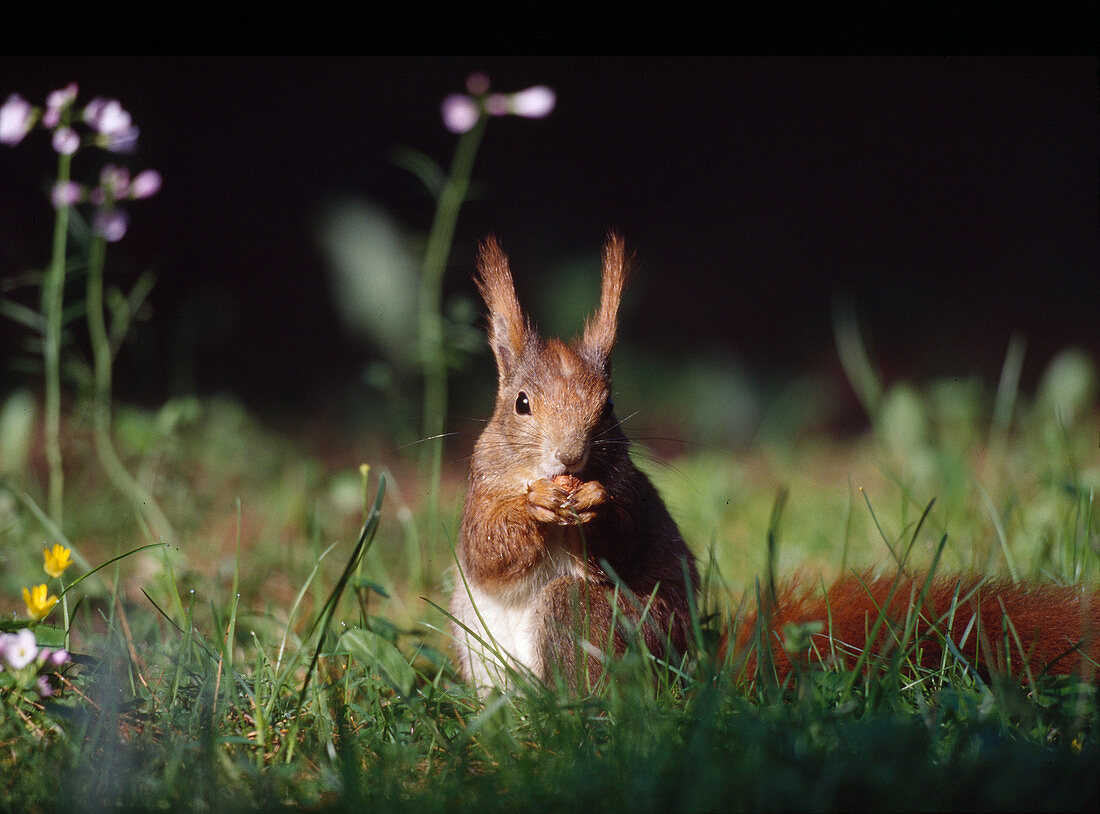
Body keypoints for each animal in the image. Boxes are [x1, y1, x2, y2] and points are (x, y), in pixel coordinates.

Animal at [446, 233, 695, 686]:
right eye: (521, 403)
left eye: (609, 406)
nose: (569, 456)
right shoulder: (483, 488)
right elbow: (486, 548)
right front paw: (535, 505)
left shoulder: (629, 493)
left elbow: (625, 545)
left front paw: (594, 508)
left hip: (595, 615)